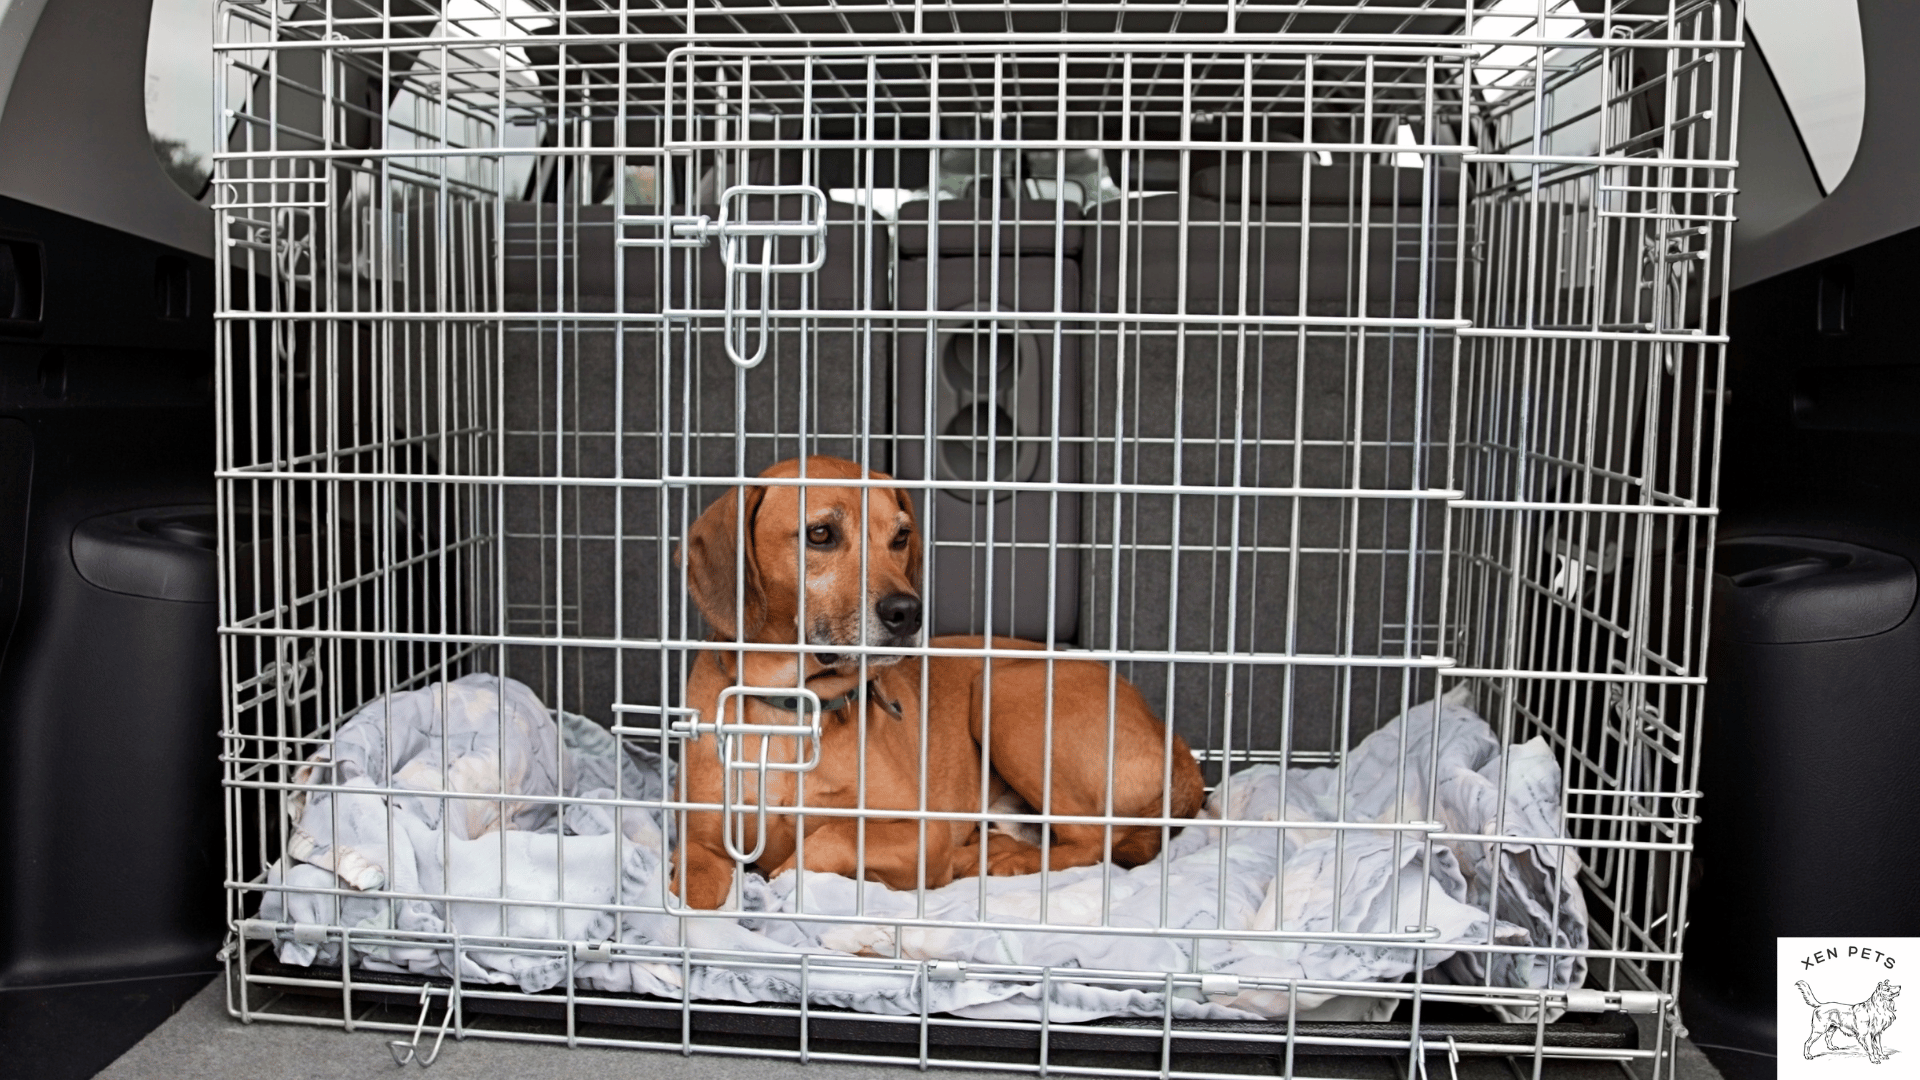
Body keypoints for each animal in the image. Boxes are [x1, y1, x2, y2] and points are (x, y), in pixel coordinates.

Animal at [672, 453, 1198, 907]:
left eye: (900, 537)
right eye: (820, 533)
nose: (908, 612)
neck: (791, 706)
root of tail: (1170, 737)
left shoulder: (921, 830)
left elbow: (829, 839)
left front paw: (784, 879)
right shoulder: (699, 844)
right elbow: (691, 899)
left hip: (1003, 694)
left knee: (1091, 841)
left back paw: (996, 859)